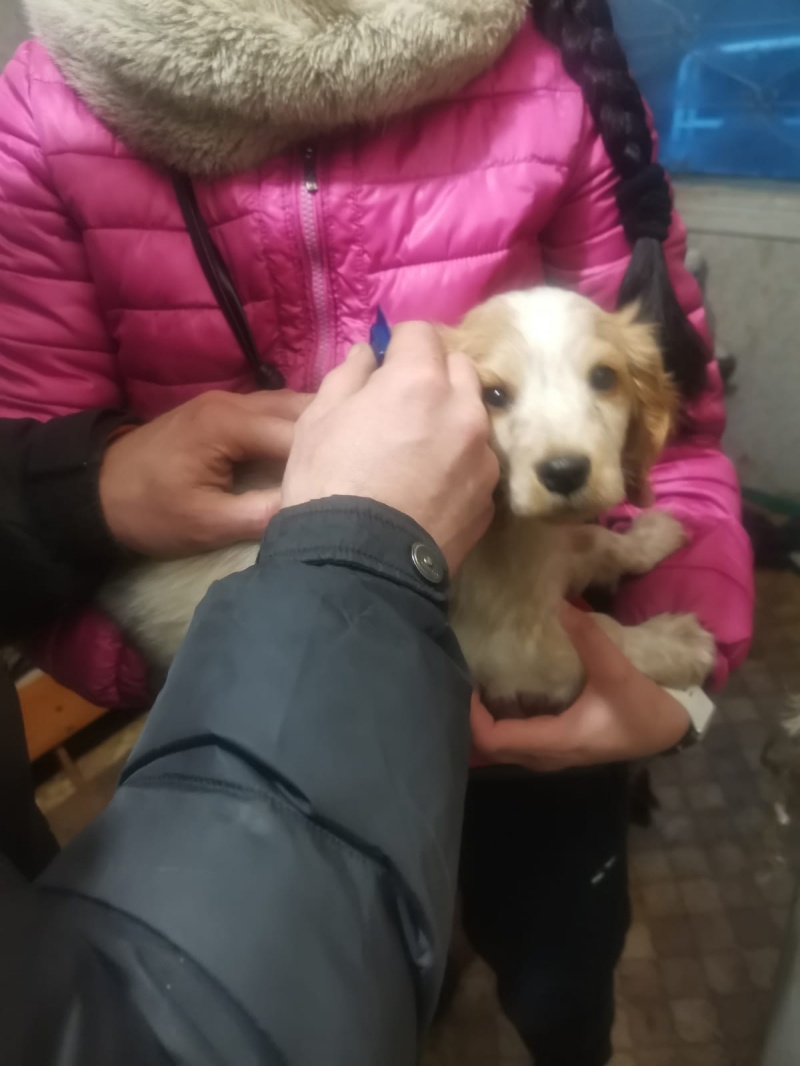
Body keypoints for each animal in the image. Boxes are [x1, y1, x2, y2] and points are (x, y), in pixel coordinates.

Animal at [100, 287, 715, 702]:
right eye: (493, 395)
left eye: (605, 378)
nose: (564, 472)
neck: (521, 534)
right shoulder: (513, 652)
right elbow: (606, 639)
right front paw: (674, 645)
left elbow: (597, 545)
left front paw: (650, 536)